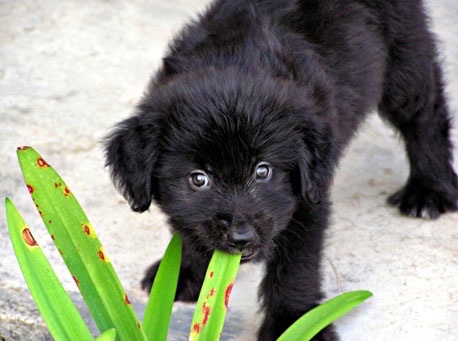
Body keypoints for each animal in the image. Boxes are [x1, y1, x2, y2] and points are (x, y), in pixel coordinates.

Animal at [105, 0, 456, 338]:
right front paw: (183, 271)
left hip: (405, 59)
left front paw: (294, 324)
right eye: (199, 179)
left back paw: (429, 189)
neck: (233, 60)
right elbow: (187, 227)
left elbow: (295, 270)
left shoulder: (307, 201)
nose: (241, 236)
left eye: (263, 171)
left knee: (426, 113)